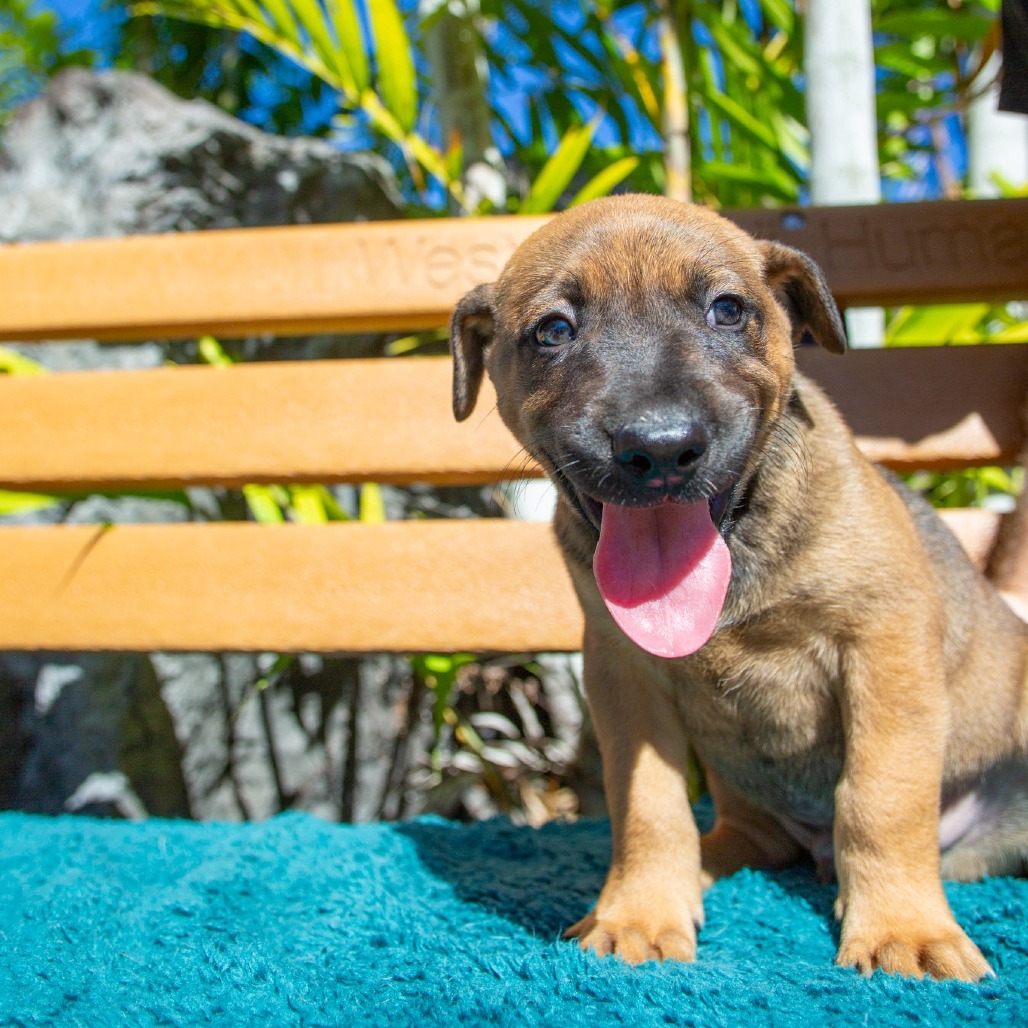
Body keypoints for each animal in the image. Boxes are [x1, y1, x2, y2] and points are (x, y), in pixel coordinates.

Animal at [452, 191, 1028, 978]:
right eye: (554, 330)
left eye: (727, 310)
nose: (659, 450)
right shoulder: (624, 675)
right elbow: (650, 806)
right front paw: (639, 912)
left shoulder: (886, 645)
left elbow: (882, 796)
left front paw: (901, 928)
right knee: (747, 838)